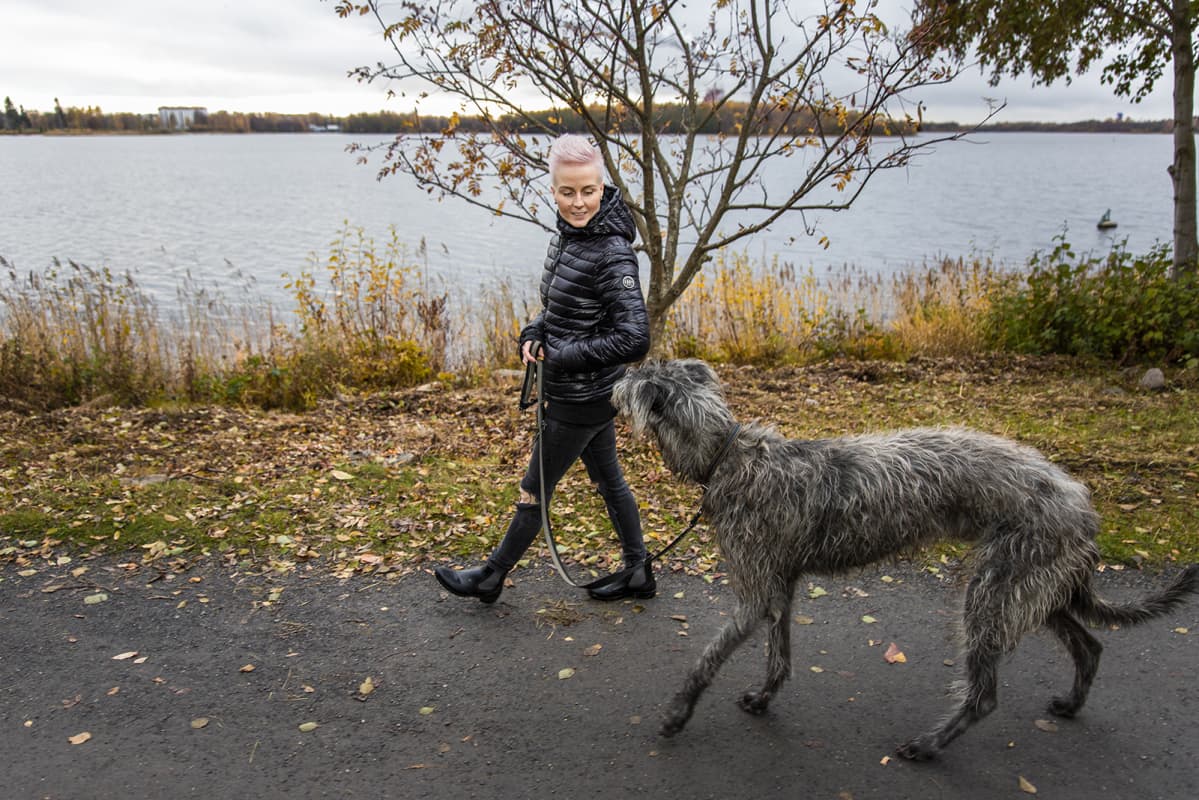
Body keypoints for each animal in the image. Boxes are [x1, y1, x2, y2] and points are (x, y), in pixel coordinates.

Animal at [613, 359, 1194, 762]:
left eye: (644, 370)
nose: (618, 374)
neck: (726, 454)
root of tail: (1085, 506)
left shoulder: (756, 589)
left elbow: (707, 658)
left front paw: (678, 713)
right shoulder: (782, 583)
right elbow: (780, 655)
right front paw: (763, 696)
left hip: (994, 589)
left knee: (985, 693)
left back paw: (930, 744)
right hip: (1031, 583)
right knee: (1089, 644)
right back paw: (1071, 704)